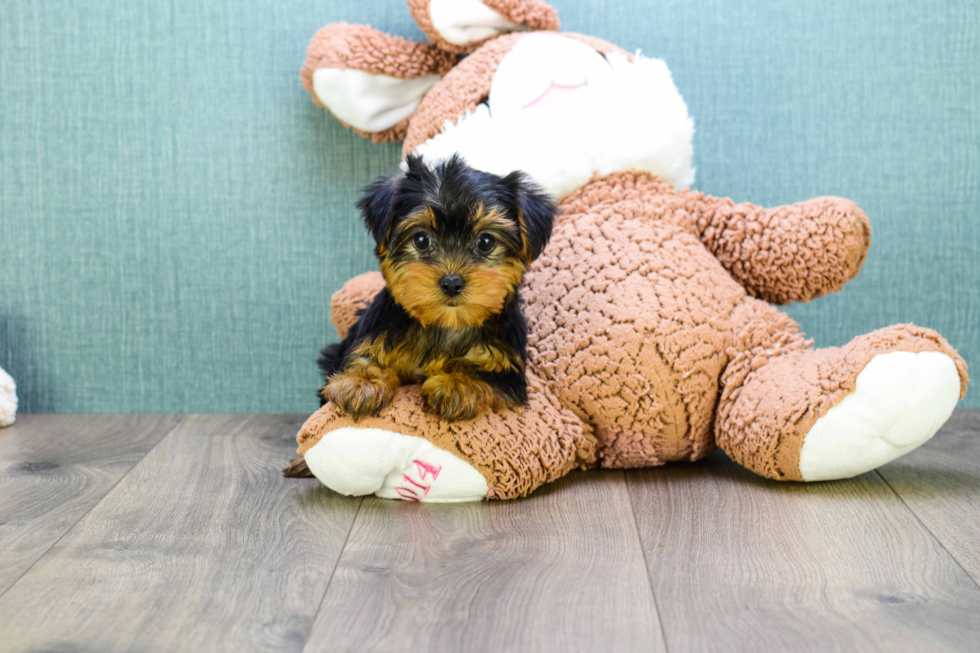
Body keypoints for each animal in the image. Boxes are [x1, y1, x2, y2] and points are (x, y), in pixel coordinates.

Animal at [318, 153, 556, 420]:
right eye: (421, 239)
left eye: (485, 242)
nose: (451, 282)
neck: (446, 324)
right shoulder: (375, 334)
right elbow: (366, 357)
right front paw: (362, 383)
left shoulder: (508, 371)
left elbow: (482, 372)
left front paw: (456, 385)